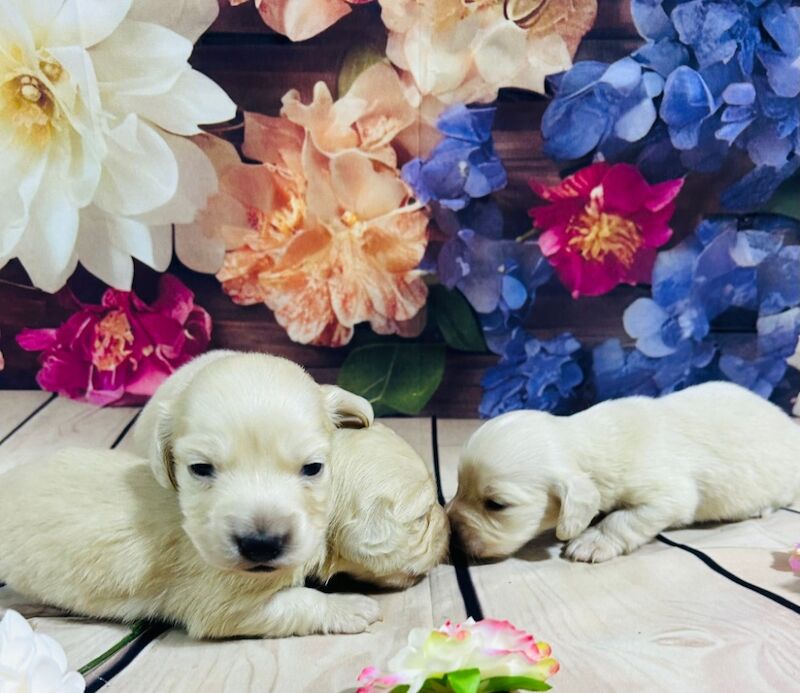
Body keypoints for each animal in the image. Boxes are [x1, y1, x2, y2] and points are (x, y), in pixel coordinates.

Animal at [0, 352, 382, 636]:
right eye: (200, 468)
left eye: (313, 468)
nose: (260, 544)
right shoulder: (226, 606)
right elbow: (296, 602)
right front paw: (349, 607)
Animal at [446, 382, 800, 564]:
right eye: (459, 486)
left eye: (496, 505)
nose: (451, 533)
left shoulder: (667, 495)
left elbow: (624, 520)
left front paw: (591, 542)